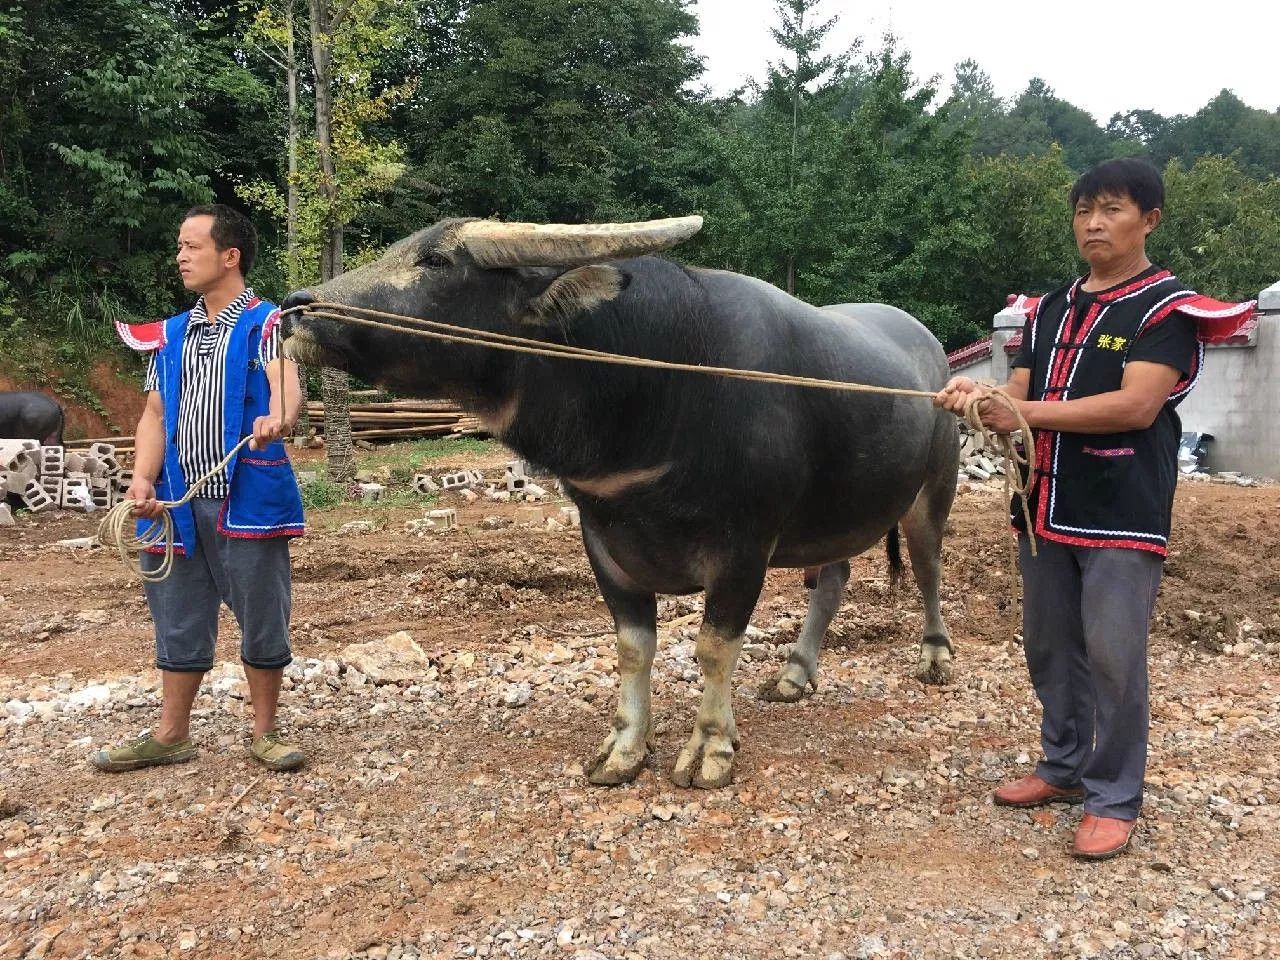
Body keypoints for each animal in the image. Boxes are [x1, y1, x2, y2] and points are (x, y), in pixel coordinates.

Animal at [285, 220, 957, 788]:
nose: (297, 307)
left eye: (437, 260)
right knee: (834, 578)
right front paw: (625, 749)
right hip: (831, 517)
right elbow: (634, 647)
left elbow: (715, 647)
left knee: (928, 571)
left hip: (933, 492)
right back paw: (795, 674)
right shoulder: (603, 539)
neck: (665, 379)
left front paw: (710, 749)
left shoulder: (744, 547)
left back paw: (934, 657)